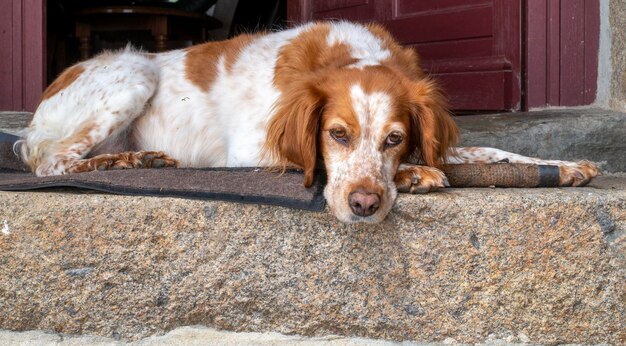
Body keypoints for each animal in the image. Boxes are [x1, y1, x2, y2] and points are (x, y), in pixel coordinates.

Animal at [17, 21, 596, 223]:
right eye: (336, 134)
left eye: (395, 138)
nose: (364, 205)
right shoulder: (252, 148)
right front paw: (416, 175)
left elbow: (491, 152)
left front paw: (563, 166)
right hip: (135, 72)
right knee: (52, 163)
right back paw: (122, 163)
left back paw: (140, 158)